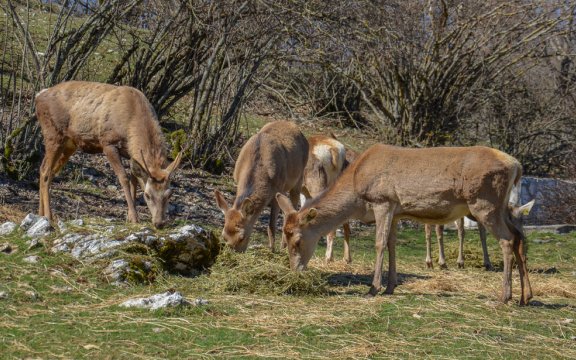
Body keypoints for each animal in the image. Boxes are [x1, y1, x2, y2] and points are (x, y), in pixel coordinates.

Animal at [35, 81, 181, 228]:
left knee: (46, 169)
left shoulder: (132, 154)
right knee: (46, 171)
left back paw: (41, 214)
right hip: (53, 134)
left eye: (169, 194)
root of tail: (39, 95)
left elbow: (134, 180)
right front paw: (134, 218)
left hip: (69, 144)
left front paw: (129, 216)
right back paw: (49, 216)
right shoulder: (108, 143)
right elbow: (124, 178)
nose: (160, 223)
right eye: (147, 195)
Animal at [213, 119, 310, 252]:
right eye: (224, 236)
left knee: (293, 209)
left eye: (242, 237)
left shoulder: (278, 189)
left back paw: (283, 247)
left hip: (299, 178)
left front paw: (272, 249)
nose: (235, 252)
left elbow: (271, 224)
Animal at [278, 145, 536, 306]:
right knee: (519, 236)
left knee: (507, 239)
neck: (357, 194)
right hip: (501, 207)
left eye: (297, 239)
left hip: (484, 203)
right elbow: (392, 245)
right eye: (284, 235)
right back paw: (526, 297)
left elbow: (380, 244)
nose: (295, 270)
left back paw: (505, 296)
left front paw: (373, 288)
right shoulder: (397, 211)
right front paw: (390, 287)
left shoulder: (383, 201)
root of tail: (516, 166)